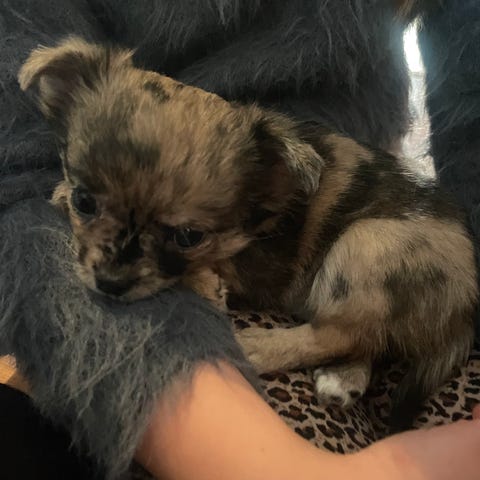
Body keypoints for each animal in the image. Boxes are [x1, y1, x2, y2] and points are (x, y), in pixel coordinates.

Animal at [19, 37, 477, 431]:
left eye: (189, 236)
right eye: (85, 201)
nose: (111, 283)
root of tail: (466, 303)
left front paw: (204, 283)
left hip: (365, 241)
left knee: (340, 331)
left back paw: (258, 347)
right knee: (369, 336)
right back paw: (345, 377)